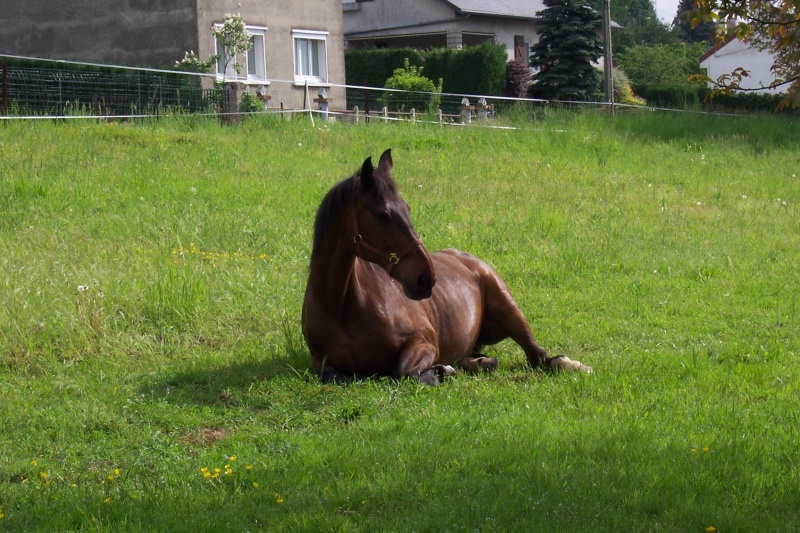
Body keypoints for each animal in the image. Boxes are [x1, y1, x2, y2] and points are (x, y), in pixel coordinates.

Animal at [304, 148, 592, 384]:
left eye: (407, 208)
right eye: (382, 214)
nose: (426, 278)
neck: (341, 305)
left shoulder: (424, 342)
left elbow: (401, 372)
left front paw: (440, 371)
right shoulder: (319, 361)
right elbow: (335, 376)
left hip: (509, 307)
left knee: (540, 357)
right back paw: (479, 362)